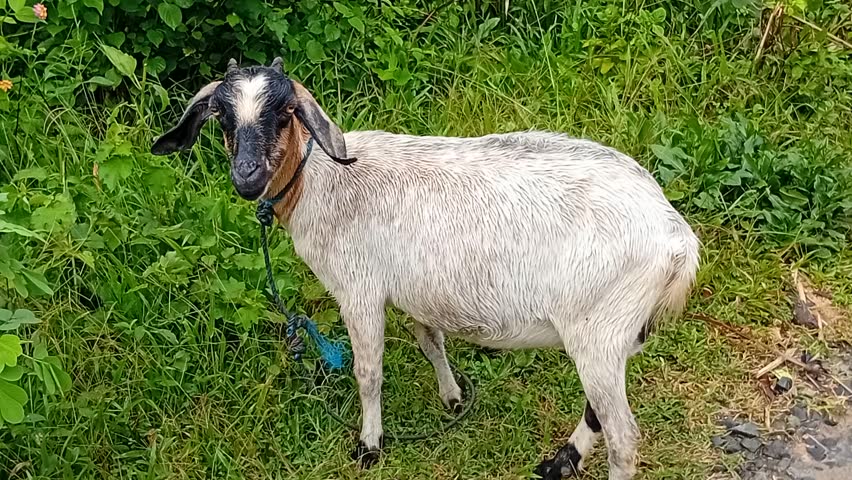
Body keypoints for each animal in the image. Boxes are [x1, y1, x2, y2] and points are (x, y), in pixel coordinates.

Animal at [151, 58, 700, 480]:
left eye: (285, 113)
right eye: (222, 116)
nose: (247, 177)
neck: (321, 181)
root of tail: (676, 236)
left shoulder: (359, 289)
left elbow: (368, 371)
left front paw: (370, 445)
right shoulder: (415, 288)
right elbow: (429, 338)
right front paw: (453, 397)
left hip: (597, 329)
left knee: (624, 435)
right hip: (612, 334)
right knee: (599, 410)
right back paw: (559, 462)